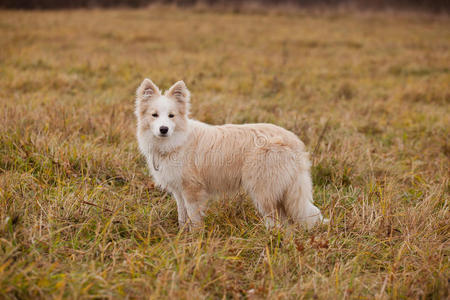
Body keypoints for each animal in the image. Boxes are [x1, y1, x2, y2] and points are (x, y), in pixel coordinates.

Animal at [135, 78, 326, 229]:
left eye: (171, 116)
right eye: (154, 115)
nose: (163, 129)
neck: (176, 142)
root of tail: (294, 140)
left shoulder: (192, 191)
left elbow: (194, 219)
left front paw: (195, 240)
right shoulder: (179, 192)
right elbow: (183, 217)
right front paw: (182, 237)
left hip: (263, 191)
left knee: (277, 221)